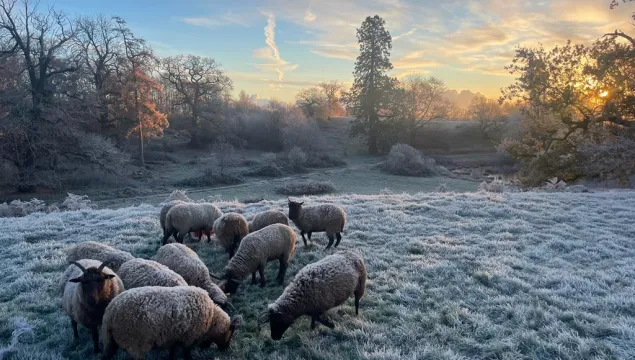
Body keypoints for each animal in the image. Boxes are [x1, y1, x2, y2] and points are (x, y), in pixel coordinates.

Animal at [100, 286, 242, 360]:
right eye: (231, 333)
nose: (226, 350)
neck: (212, 319)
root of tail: (110, 312)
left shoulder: (174, 337)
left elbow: (172, 352)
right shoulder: (189, 338)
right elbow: (186, 354)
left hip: (110, 341)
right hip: (135, 344)